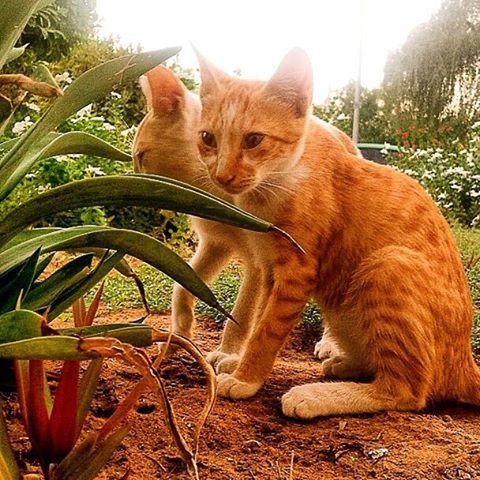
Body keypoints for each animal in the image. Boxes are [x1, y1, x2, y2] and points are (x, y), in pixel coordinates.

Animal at [133, 64, 358, 372]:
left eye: (141, 156)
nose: (130, 178)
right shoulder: (215, 243)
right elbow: (182, 286)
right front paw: (179, 336)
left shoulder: (258, 260)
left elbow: (241, 314)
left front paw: (229, 353)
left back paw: (331, 343)